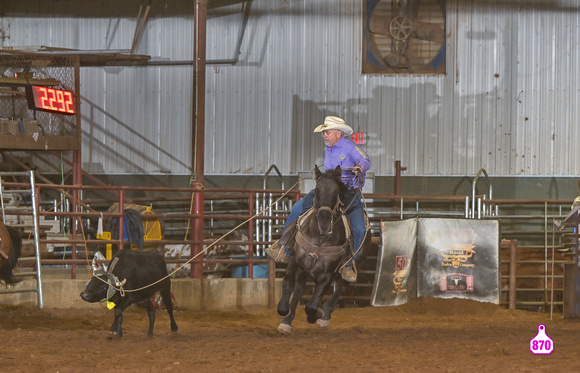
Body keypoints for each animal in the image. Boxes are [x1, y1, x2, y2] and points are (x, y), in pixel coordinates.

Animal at [276, 166, 368, 334]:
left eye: (336, 192)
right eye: (317, 191)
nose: (324, 224)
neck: (319, 238)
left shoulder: (327, 275)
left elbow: (311, 306)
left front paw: (317, 314)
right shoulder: (295, 263)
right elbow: (287, 285)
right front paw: (284, 314)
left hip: (350, 267)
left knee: (340, 288)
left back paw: (324, 317)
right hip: (304, 272)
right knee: (299, 291)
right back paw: (287, 320)